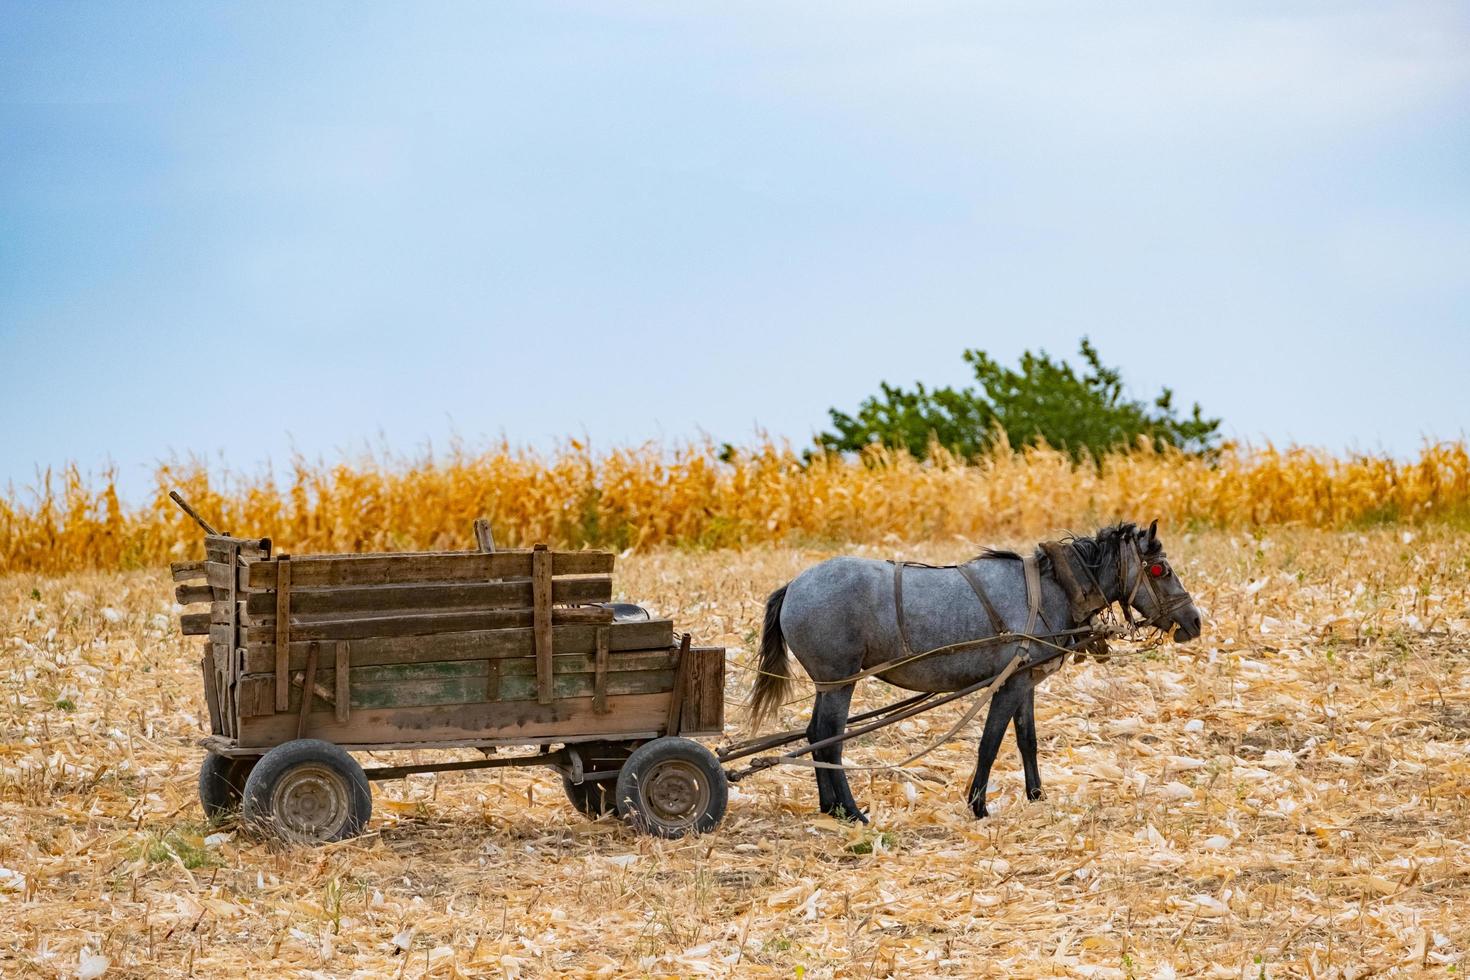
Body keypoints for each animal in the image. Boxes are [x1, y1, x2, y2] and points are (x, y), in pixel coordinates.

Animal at [752, 520, 1199, 822]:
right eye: (1159, 569)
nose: (1194, 622)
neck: (1052, 589)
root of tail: (793, 586)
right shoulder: (1009, 683)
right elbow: (990, 743)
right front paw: (978, 805)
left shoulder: (1026, 682)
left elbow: (1027, 741)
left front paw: (1037, 796)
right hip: (839, 682)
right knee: (830, 741)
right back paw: (851, 810)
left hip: (828, 684)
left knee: (814, 735)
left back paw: (830, 808)